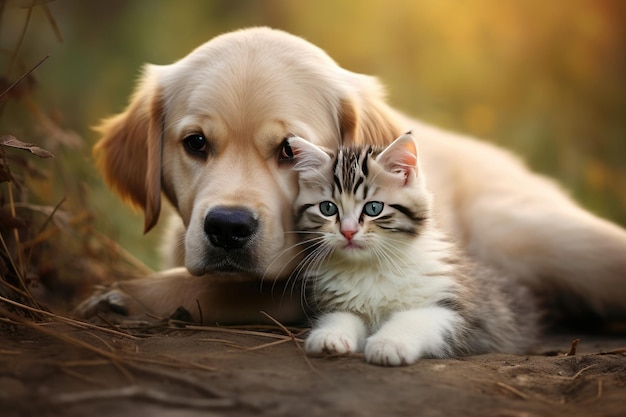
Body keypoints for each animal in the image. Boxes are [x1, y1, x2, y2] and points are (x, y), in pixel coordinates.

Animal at [77, 26, 624, 324]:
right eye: (195, 143)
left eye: (289, 150)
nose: (227, 228)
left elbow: (230, 288)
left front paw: (126, 295)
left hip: (530, 233)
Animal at [288, 132, 536, 364]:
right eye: (328, 208)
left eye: (374, 208)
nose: (348, 231)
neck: (372, 266)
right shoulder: (338, 304)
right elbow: (340, 316)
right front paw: (329, 336)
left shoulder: (456, 310)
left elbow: (415, 319)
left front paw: (389, 343)